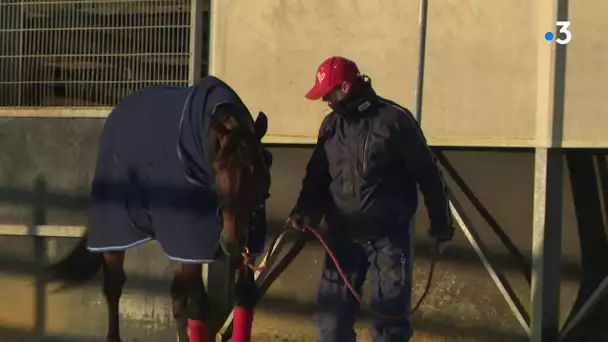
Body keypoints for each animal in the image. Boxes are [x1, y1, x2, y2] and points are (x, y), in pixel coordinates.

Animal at [47, 77, 274, 342]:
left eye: (258, 168)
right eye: (219, 168)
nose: (231, 240)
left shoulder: (242, 244)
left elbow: (244, 295)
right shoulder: (191, 244)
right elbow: (198, 304)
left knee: (176, 297)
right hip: (117, 231)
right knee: (114, 286)